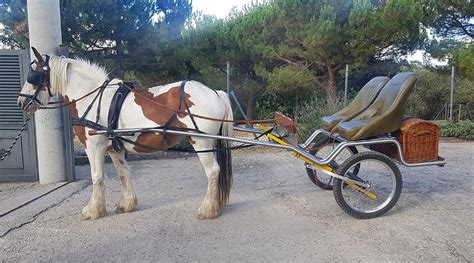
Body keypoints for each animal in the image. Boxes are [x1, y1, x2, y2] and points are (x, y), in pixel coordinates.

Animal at [18, 47, 233, 221]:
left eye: (33, 76)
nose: (21, 102)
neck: (93, 98)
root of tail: (215, 93)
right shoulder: (114, 148)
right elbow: (122, 173)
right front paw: (126, 204)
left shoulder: (93, 147)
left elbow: (97, 177)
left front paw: (93, 210)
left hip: (201, 141)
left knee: (213, 171)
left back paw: (208, 209)